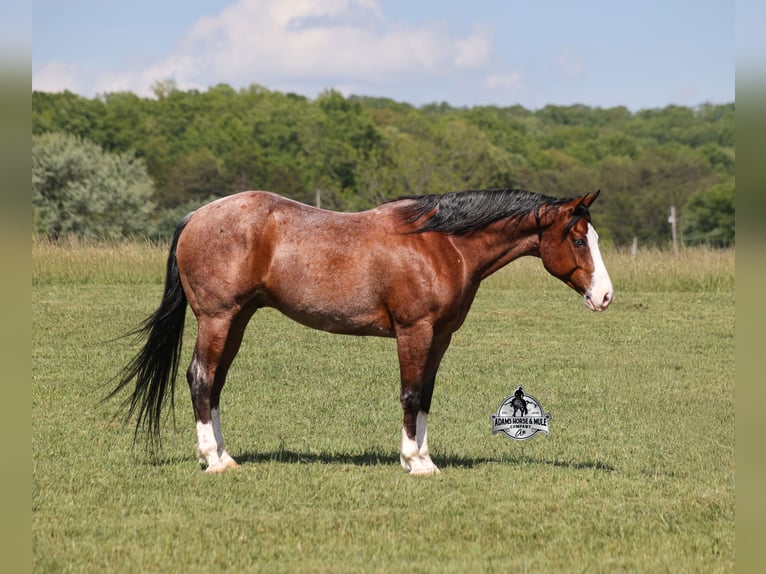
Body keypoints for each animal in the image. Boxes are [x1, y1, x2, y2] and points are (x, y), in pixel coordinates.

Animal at [108, 188, 613, 475]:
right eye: (577, 238)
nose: (605, 296)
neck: (442, 243)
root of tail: (195, 217)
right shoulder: (414, 331)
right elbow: (410, 394)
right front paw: (413, 462)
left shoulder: (440, 337)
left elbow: (425, 397)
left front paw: (426, 458)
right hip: (217, 318)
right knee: (201, 378)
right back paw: (211, 460)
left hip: (238, 319)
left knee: (214, 384)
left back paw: (226, 456)